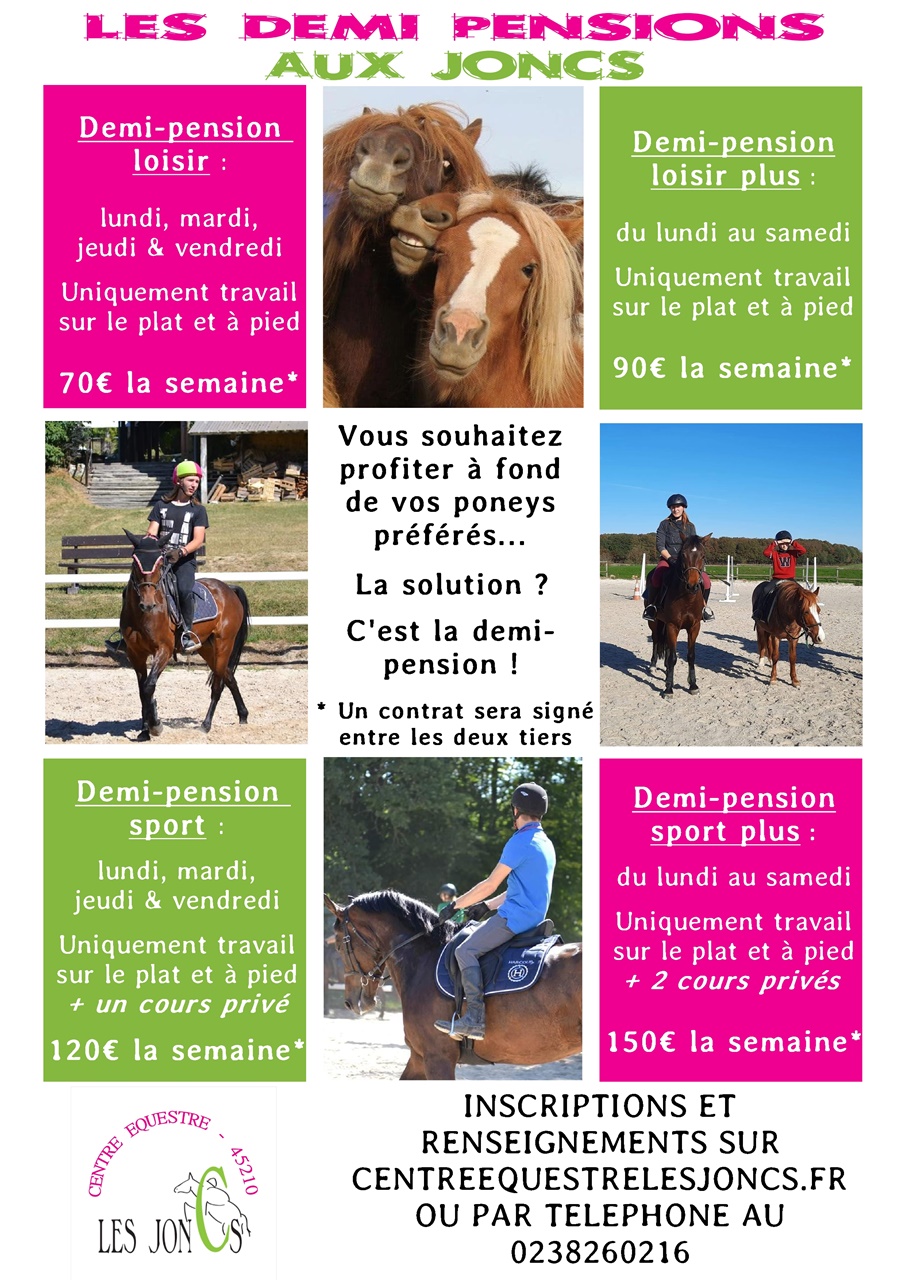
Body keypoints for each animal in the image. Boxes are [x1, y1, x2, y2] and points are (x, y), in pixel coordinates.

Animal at [120, 532, 250, 741]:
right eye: (135, 562)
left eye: (159, 562)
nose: (147, 604)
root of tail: (228, 588)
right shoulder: (135, 654)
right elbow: (142, 691)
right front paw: (145, 730)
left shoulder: (163, 651)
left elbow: (149, 687)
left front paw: (155, 726)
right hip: (206, 647)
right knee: (229, 677)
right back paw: (243, 715)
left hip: (224, 644)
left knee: (218, 685)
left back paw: (206, 725)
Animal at [647, 534, 712, 697]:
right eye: (683, 555)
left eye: (703, 555)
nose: (692, 585)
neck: (687, 598)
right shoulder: (672, 626)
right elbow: (672, 658)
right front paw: (668, 689)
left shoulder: (694, 627)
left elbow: (690, 656)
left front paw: (693, 684)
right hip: (654, 622)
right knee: (656, 640)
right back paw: (653, 665)